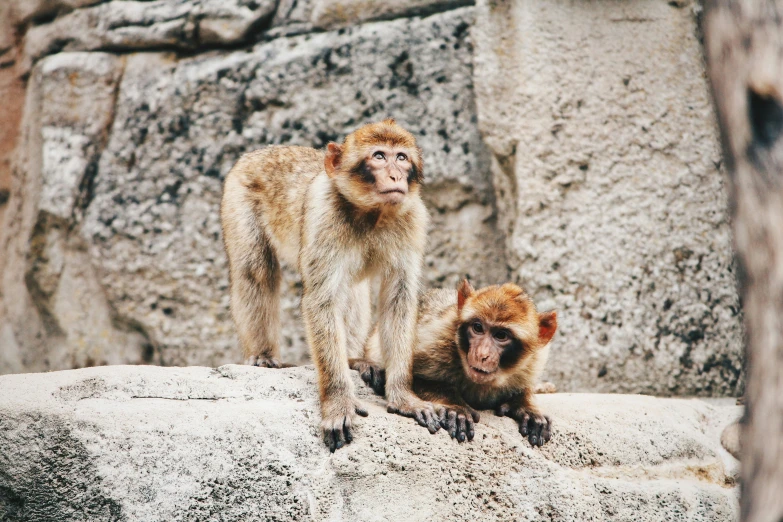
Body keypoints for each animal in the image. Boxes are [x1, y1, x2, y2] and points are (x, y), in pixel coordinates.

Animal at [220, 119, 440, 450]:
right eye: (379, 156)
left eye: (401, 157)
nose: (396, 176)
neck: (372, 213)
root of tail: (259, 152)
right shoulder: (325, 216)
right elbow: (321, 301)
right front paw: (338, 402)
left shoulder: (412, 219)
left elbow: (398, 302)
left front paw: (403, 396)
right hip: (237, 196)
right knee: (255, 270)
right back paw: (263, 355)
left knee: (353, 290)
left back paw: (353, 359)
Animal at [352, 278, 560, 444]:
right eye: (478, 327)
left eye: (501, 335)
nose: (482, 354)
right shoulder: (436, 336)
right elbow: (413, 377)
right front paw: (454, 406)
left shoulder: (534, 360)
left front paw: (526, 406)